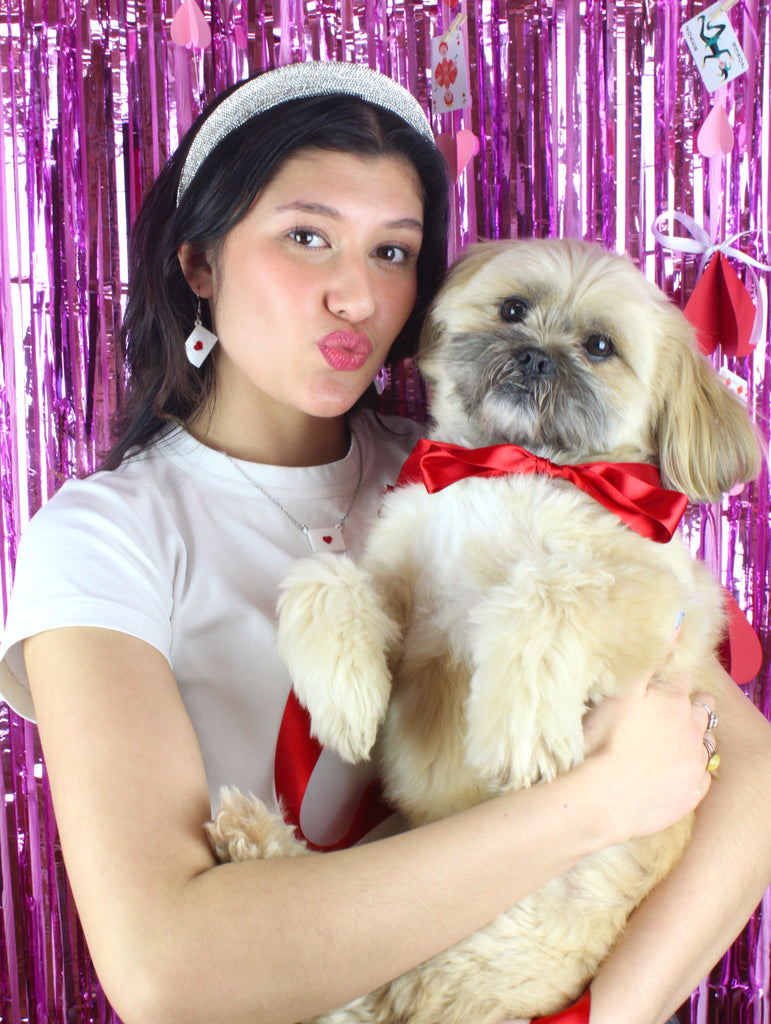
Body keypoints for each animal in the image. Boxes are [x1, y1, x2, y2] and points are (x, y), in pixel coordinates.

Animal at [207, 241, 761, 1024]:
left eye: (599, 347)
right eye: (512, 309)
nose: (533, 356)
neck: (513, 465)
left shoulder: (660, 597)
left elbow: (550, 590)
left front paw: (517, 726)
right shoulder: (405, 603)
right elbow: (326, 578)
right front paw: (344, 696)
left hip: (477, 938)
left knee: (369, 997)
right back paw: (251, 836)